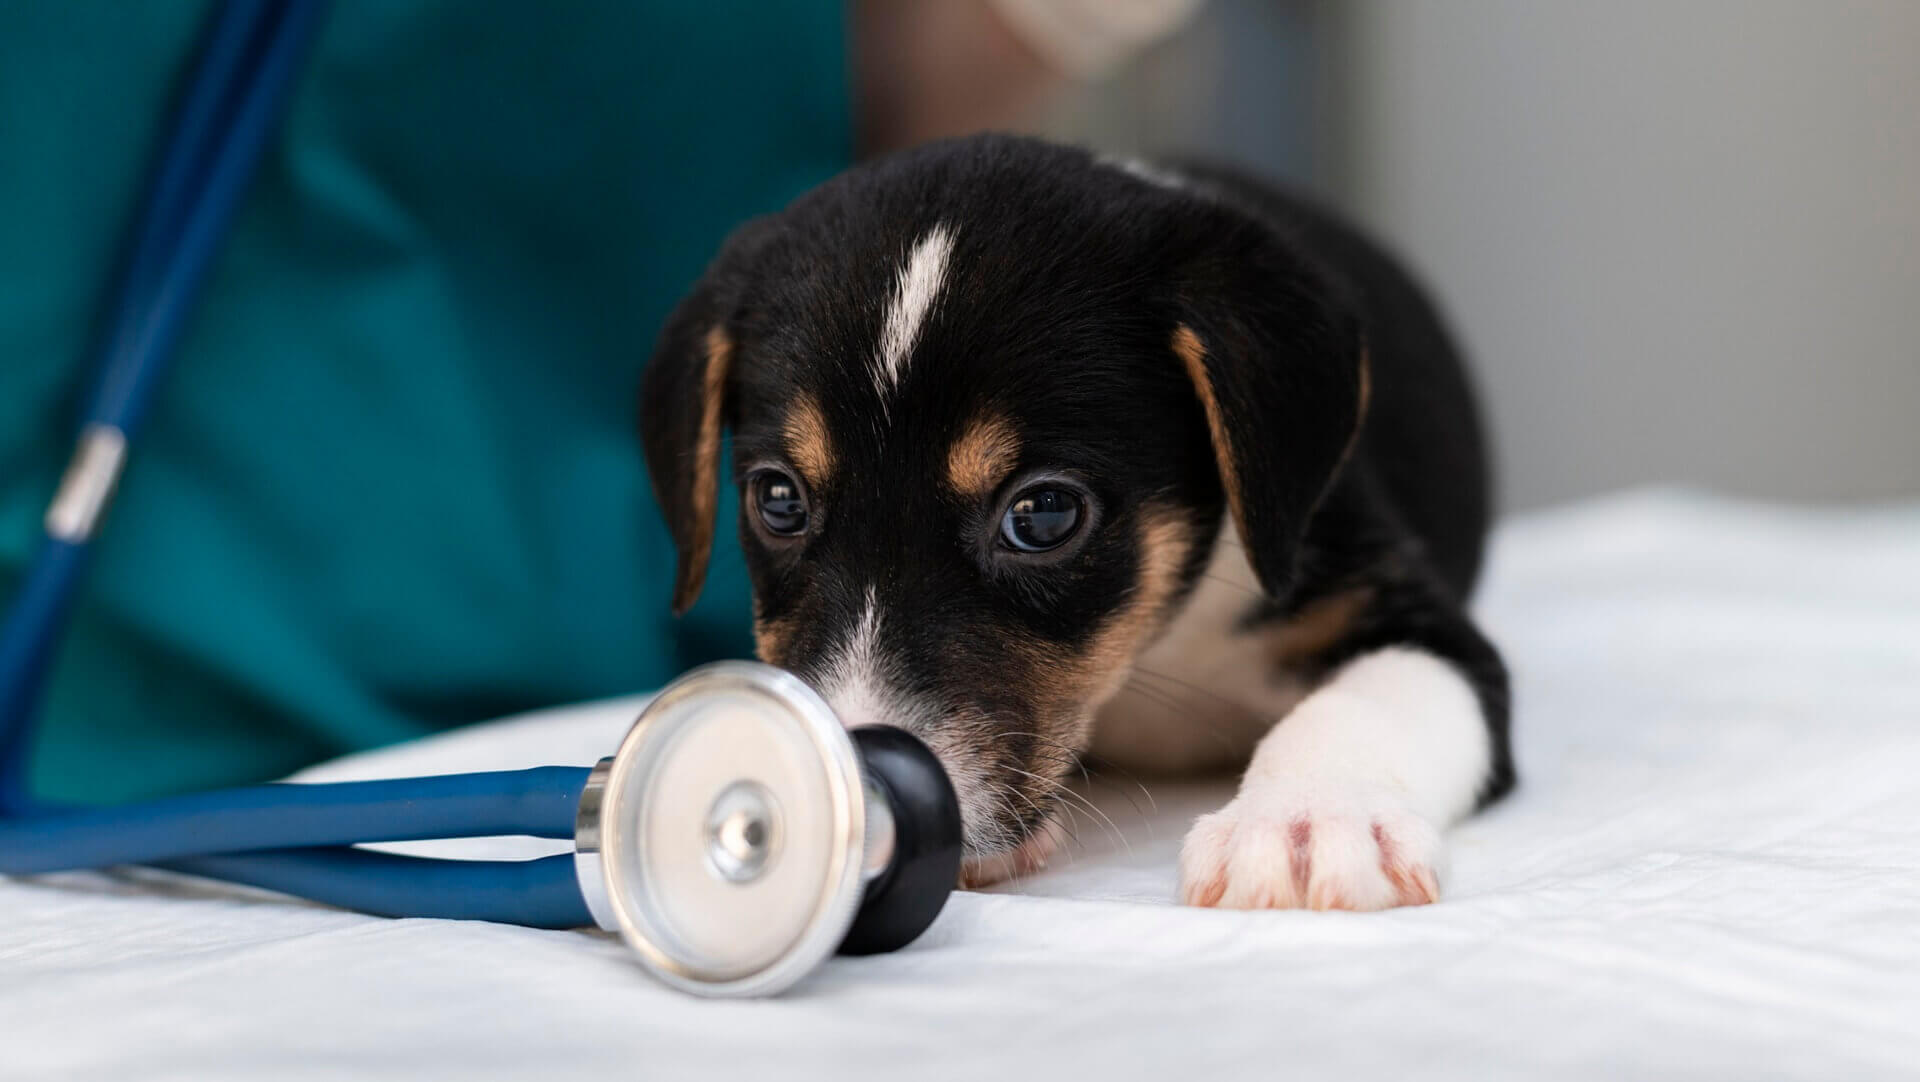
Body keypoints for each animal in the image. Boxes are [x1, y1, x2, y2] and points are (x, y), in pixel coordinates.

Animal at [645, 135, 1512, 913]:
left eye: (1042, 514)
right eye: (778, 500)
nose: (863, 793)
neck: (1155, 649)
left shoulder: (1415, 620)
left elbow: (1367, 700)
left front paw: (1308, 820)